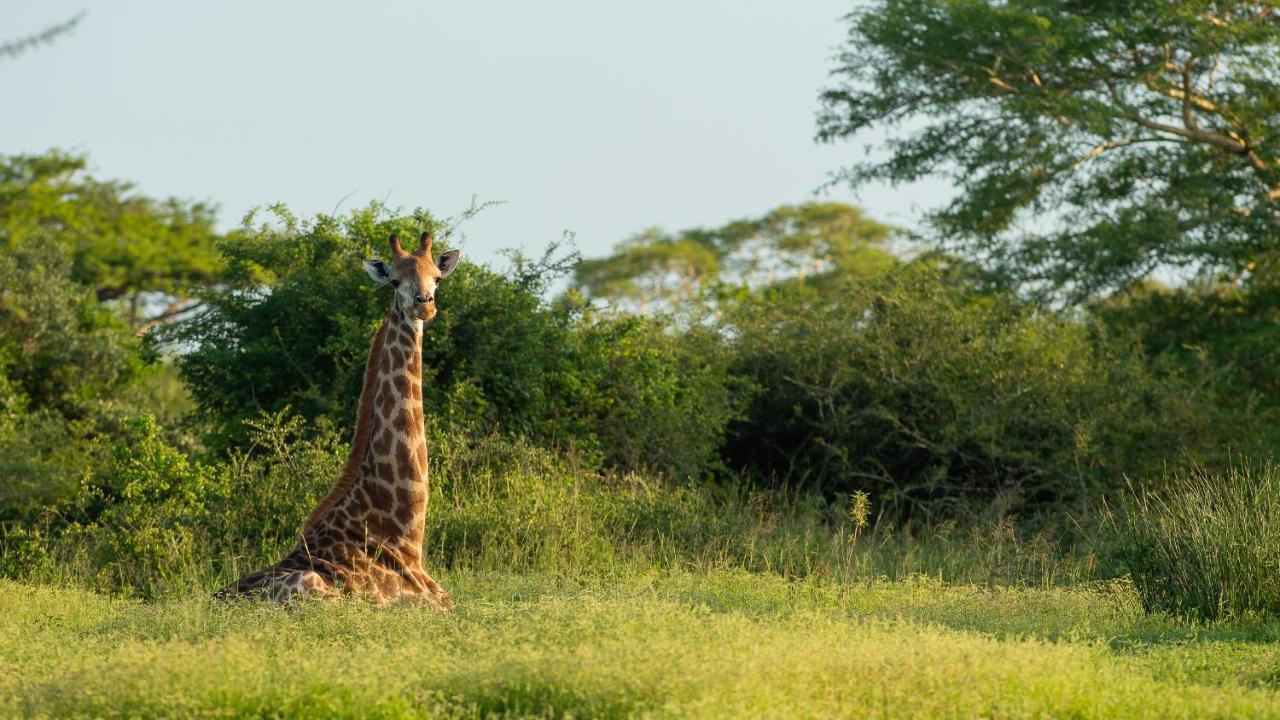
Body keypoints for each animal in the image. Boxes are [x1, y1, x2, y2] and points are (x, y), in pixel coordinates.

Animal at [215, 229, 460, 604]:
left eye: (437, 277)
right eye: (394, 281)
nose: (425, 304)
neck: (404, 536)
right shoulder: (427, 606)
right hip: (312, 586)